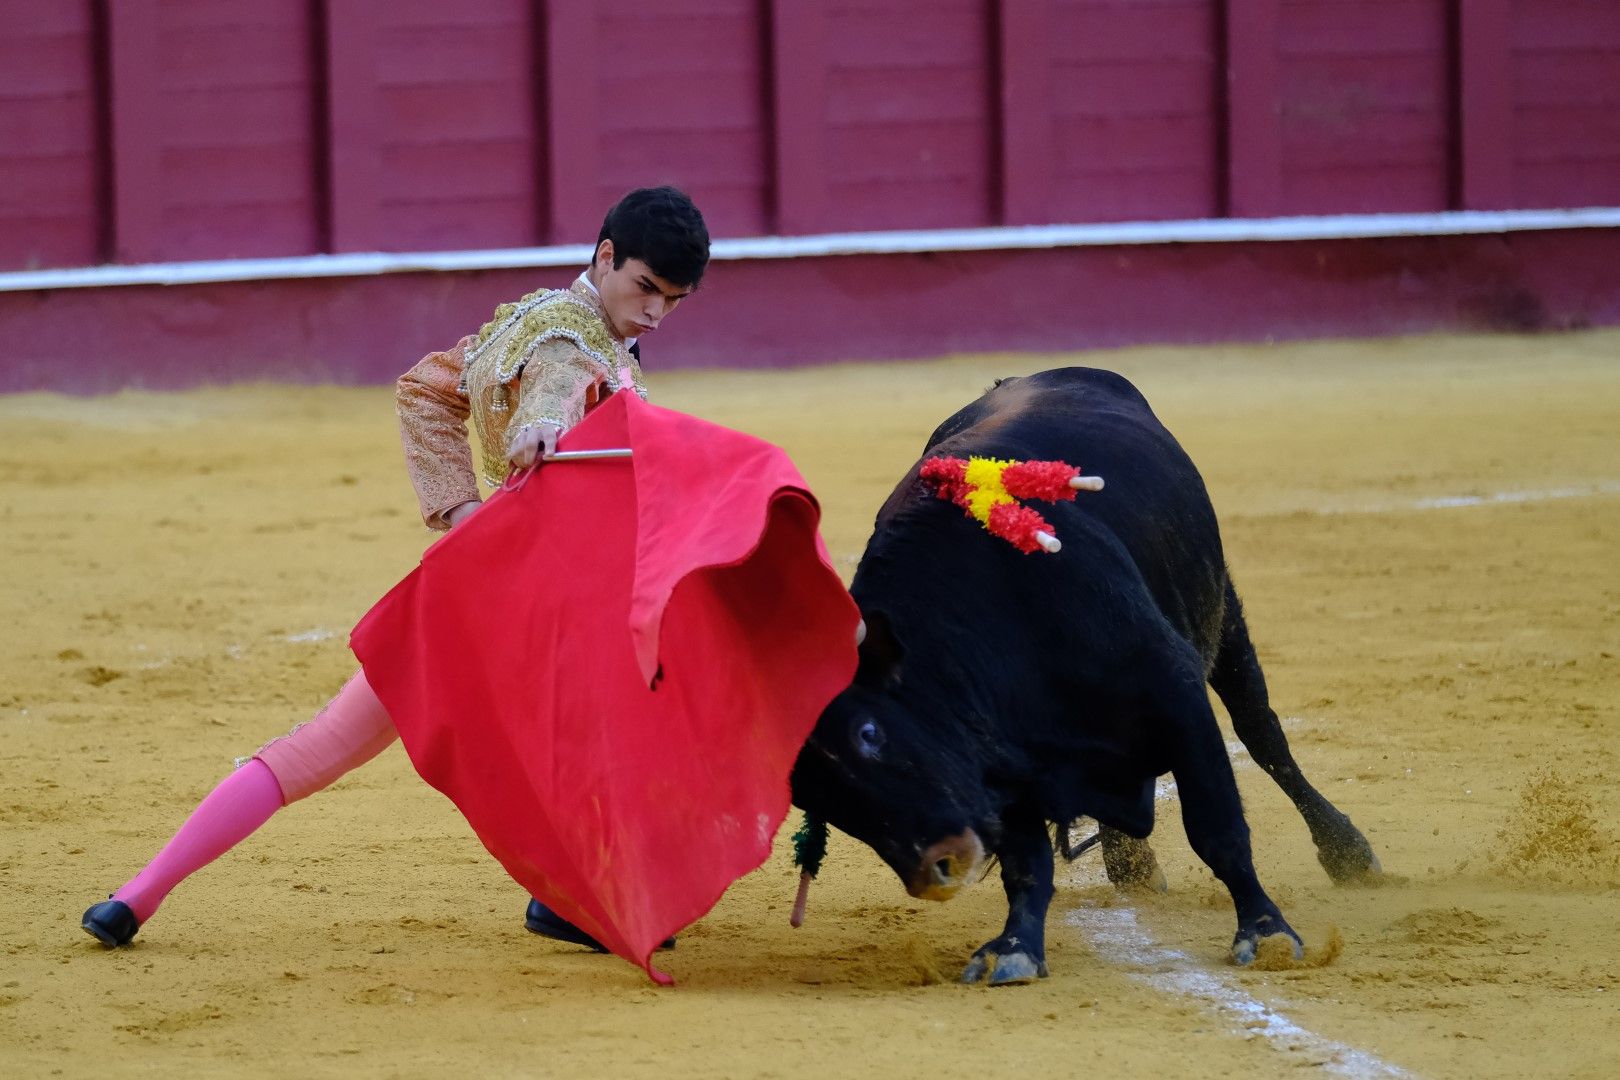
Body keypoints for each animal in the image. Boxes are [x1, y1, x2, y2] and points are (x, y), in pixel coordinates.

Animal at [784, 367, 1380, 984]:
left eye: (869, 733)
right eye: (815, 797)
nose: (935, 869)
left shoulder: (1176, 691)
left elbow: (1216, 826)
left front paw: (1265, 933)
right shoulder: (1008, 763)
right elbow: (1026, 865)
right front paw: (1015, 948)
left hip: (1224, 617)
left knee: (1263, 734)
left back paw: (1349, 853)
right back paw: (1133, 866)